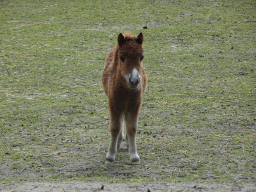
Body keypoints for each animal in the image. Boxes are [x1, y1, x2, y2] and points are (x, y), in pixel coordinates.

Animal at [101, 31, 147, 164]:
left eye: (141, 57)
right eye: (122, 57)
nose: (134, 80)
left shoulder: (135, 104)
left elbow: (132, 127)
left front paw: (134, 156)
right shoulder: (114, 103)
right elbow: (115, 127)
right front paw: (110, 155)